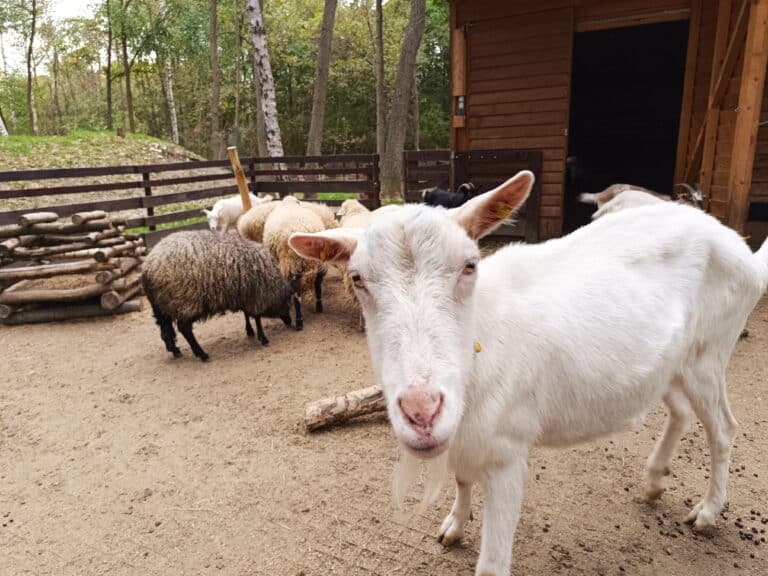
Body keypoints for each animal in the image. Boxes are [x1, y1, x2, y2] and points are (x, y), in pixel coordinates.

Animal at [289, 171, 768, 576]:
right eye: (357, 278)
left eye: (470, 264)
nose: (422, 412)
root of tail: (741, 248)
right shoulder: (466, 432)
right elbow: (461, 477)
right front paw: (453, 526)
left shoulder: (507, 451)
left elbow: (493, 563)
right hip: (671, 363)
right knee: (681, 412)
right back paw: (653, 482)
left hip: (709, 352)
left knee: (724, 428)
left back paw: (707, 512)